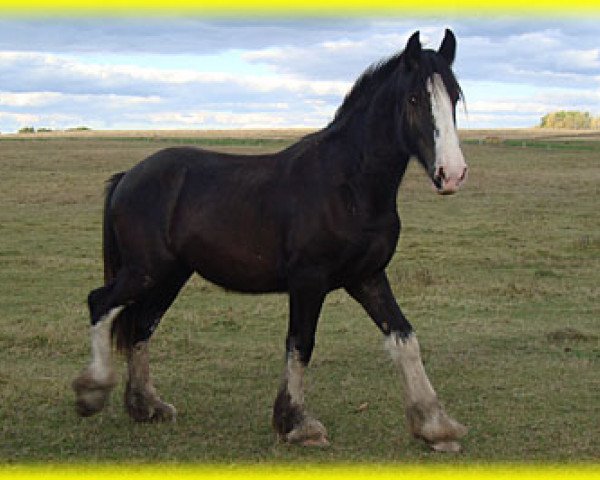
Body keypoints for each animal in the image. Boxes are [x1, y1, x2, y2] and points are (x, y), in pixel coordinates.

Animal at [72, 30, 468, 454]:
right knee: (101, 303)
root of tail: (129, 176)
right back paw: (92, 393)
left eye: (454, 96)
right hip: (145, 271)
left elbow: (404, 338)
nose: (451, 174)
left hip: (169, 276)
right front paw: (296, 424)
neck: (348, 184)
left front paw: (436, 426)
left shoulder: (368, 277)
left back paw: (146, 406)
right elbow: (301, 343)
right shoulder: (309, 281)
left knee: (141, 326)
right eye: (413, 99)